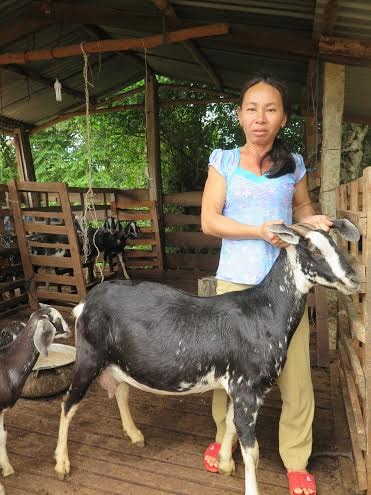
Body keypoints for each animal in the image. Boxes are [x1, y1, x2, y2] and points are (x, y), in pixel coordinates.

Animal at [54, 222, 360, 495]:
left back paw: (135, 434)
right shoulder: (247, 388)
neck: (264, 312)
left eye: (336, 244)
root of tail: (86, 303)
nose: (354, 280)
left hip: (120, 361)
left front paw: (224, 463)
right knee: (69, 403)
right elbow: (252, 451)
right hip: (89, 357)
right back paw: (61, 462)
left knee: (121, 392)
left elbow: (230, 422)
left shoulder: (238, 386)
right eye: (315, 251)